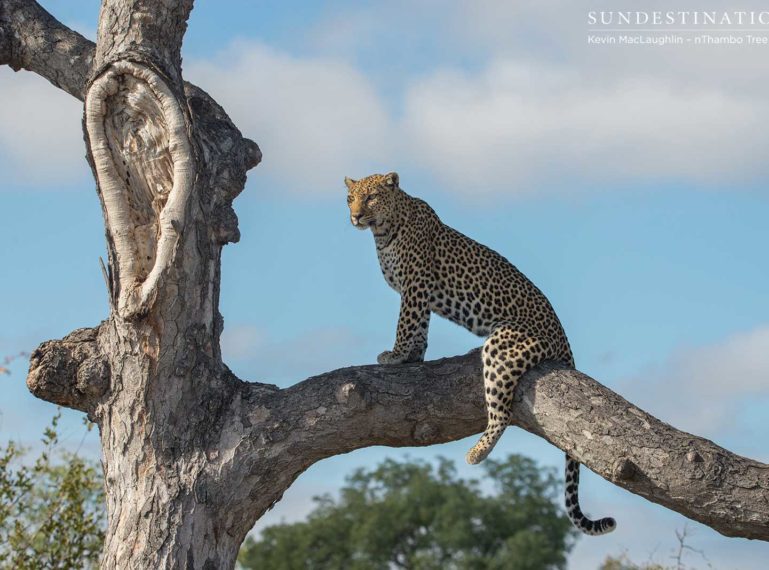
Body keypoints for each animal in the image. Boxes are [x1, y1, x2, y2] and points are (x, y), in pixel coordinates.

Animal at [344, 171, 616, 536]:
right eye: (351, 199)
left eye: (371, 197)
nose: (356, 215)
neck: (383, 230)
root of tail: (564, 341)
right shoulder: (420, 292)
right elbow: (420, 329)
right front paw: (413, 357)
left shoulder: (415, 285)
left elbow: (406, 322)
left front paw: (397, 355)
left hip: (502, 345)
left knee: (501, 414)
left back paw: (476, 453)